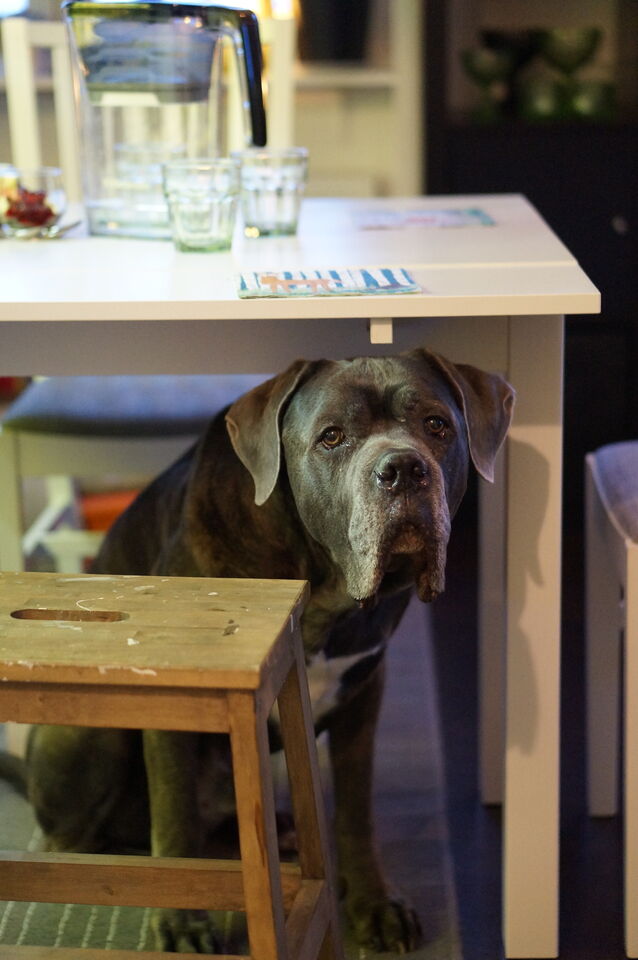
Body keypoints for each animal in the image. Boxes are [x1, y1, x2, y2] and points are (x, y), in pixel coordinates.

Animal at [24, 348, 514, 953]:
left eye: (436, 425)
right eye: (332, 437)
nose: (402, 468)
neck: (323, 585)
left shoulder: (364, 691)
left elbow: (357, 810)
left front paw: (374, 904)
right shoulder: (175, 701)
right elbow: (175, 813)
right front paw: (182, 921)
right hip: (87, 731)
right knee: (84, 838)